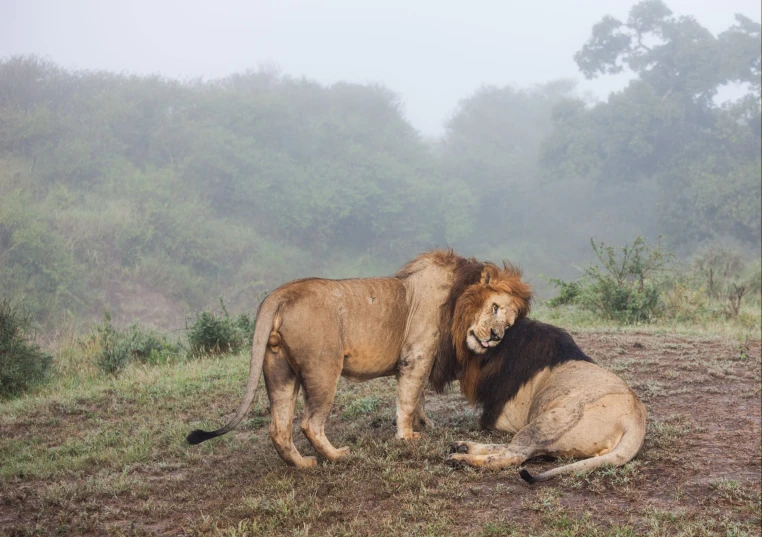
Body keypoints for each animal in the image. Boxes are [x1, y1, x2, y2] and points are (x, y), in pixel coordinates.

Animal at [186, 249, 528, 466]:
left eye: (510, 325)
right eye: (495, 308)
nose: (496, 336)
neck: (457, 302)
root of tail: (281, 294)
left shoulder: (422, 360)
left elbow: (418, 397)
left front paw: (425, 424)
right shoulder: (416, 357)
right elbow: (408, 399)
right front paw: (406, 437)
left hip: (279, 371)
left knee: (279, 429)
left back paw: (303, 464)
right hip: (323, 369)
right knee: (310, 423)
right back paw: (337, 456)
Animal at [436, 262, 644, 482]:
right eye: (494, 309)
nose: (494, 336)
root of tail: (636, 422)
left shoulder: (505, 417)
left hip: (547, 422)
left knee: (514, 454)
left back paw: (461, 458)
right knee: (515, 448)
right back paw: (463, 446)